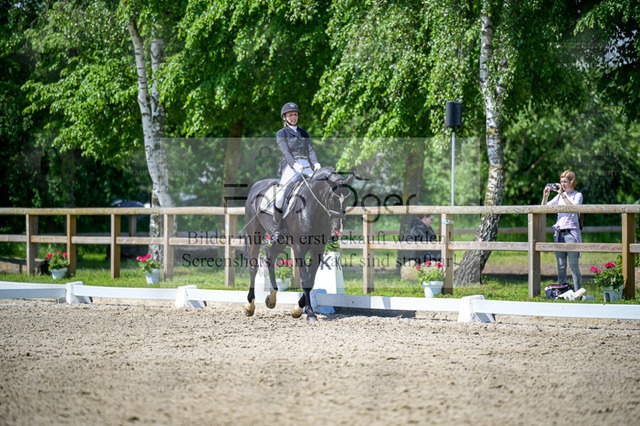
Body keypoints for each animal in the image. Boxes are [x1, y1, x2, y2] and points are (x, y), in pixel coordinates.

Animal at [243, 167, 355, 322]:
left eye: (348, 198)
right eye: (332, 197)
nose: (339, 226)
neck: (312, 210)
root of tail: (257, 186)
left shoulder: (318, 249)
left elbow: (311, 280)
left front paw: (298, 309)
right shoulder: (299, 248)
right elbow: (305, 279)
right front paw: (310, 314)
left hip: (281, 242)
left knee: (270, 257)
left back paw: (271, 299)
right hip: (255, 234)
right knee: (253, 267)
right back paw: (250, 305)